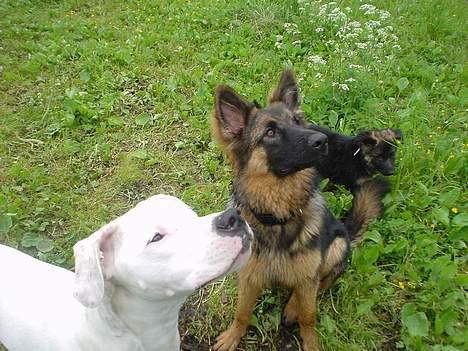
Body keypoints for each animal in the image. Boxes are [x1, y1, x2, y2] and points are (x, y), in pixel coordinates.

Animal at [211, 69, 388, 351]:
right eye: (270, 132)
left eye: (297, 121)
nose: (322, 140)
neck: (278, 217)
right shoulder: (249, 278)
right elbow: (242, 312)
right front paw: (232, 336)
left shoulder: (307, 279)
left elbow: (309, 316)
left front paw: (310, 341)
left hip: (336, 246)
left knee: (323, 281)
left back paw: (293, 305)